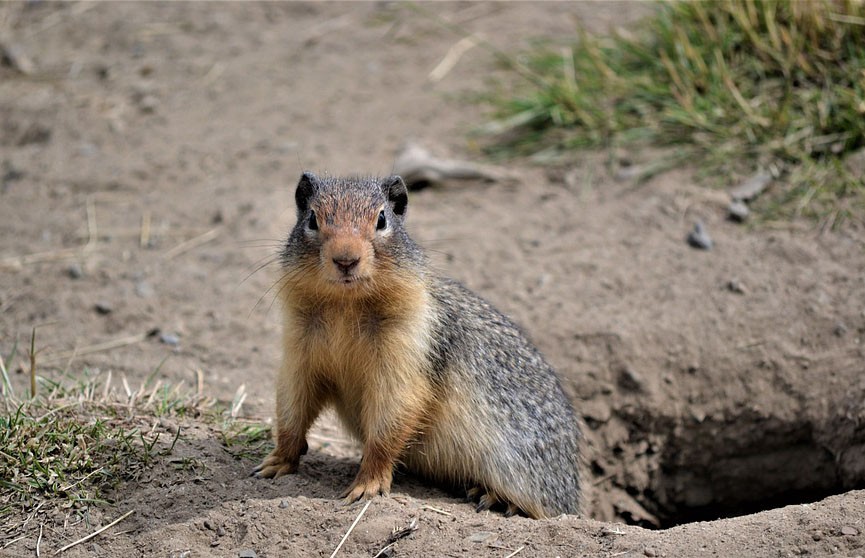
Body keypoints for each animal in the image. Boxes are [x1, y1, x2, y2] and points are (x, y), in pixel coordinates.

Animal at [255, 172, 580, 520]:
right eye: (312, 219)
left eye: (382, 219)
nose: (346, 260)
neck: (345, 306)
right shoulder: (299, 348)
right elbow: (292, 405)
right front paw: (274, 463)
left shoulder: (404, 353)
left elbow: (390, 419)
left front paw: (366, 486)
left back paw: (495, 497)